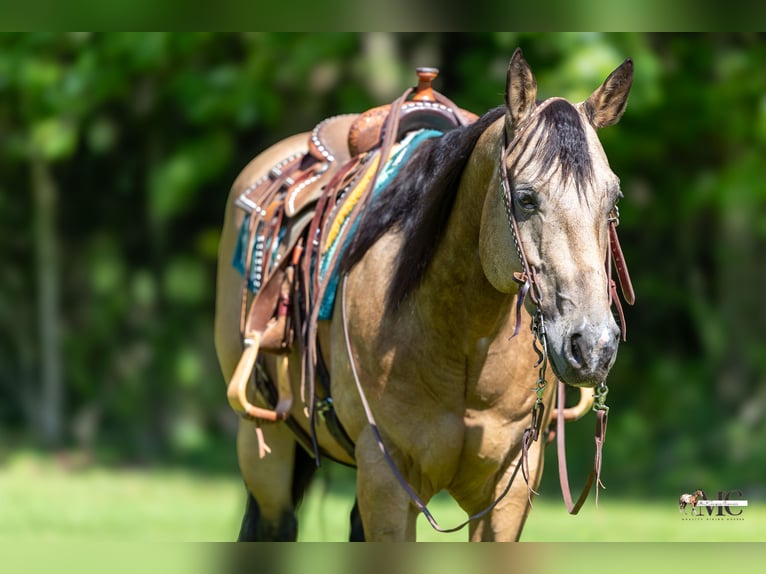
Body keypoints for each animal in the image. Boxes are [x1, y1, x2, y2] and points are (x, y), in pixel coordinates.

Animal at [215, 48, 634, 541]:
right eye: (526, 198)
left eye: (613, 200)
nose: (593, 347)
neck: (465, 342)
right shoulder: (387, 481)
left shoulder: (508, 492)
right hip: (265, 449)